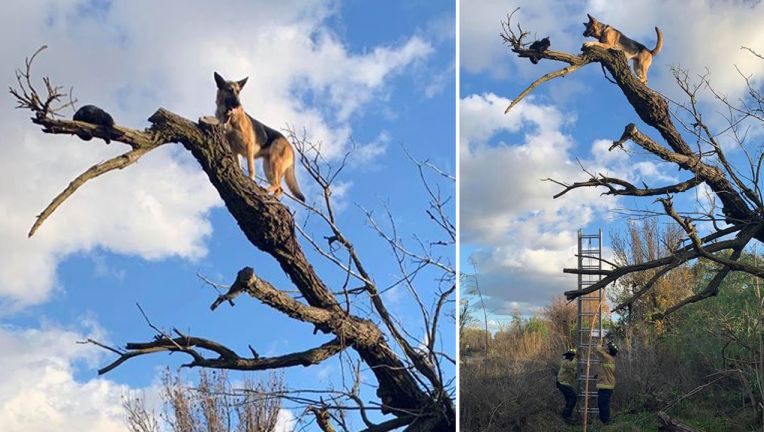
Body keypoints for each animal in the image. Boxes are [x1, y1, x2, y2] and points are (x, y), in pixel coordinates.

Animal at [215, 72, 304, 202]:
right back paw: (272, 197)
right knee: (280, 189)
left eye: (238, 92)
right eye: (229, 90)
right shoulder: (234, 150)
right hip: (267, 167)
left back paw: (267, 191)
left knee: (278, 185)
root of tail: (289, 145)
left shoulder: (249, 146)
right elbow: (238, 166)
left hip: (274, 163)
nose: (239, 104)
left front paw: (251, 180)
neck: (229, 117)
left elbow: (250, 167)